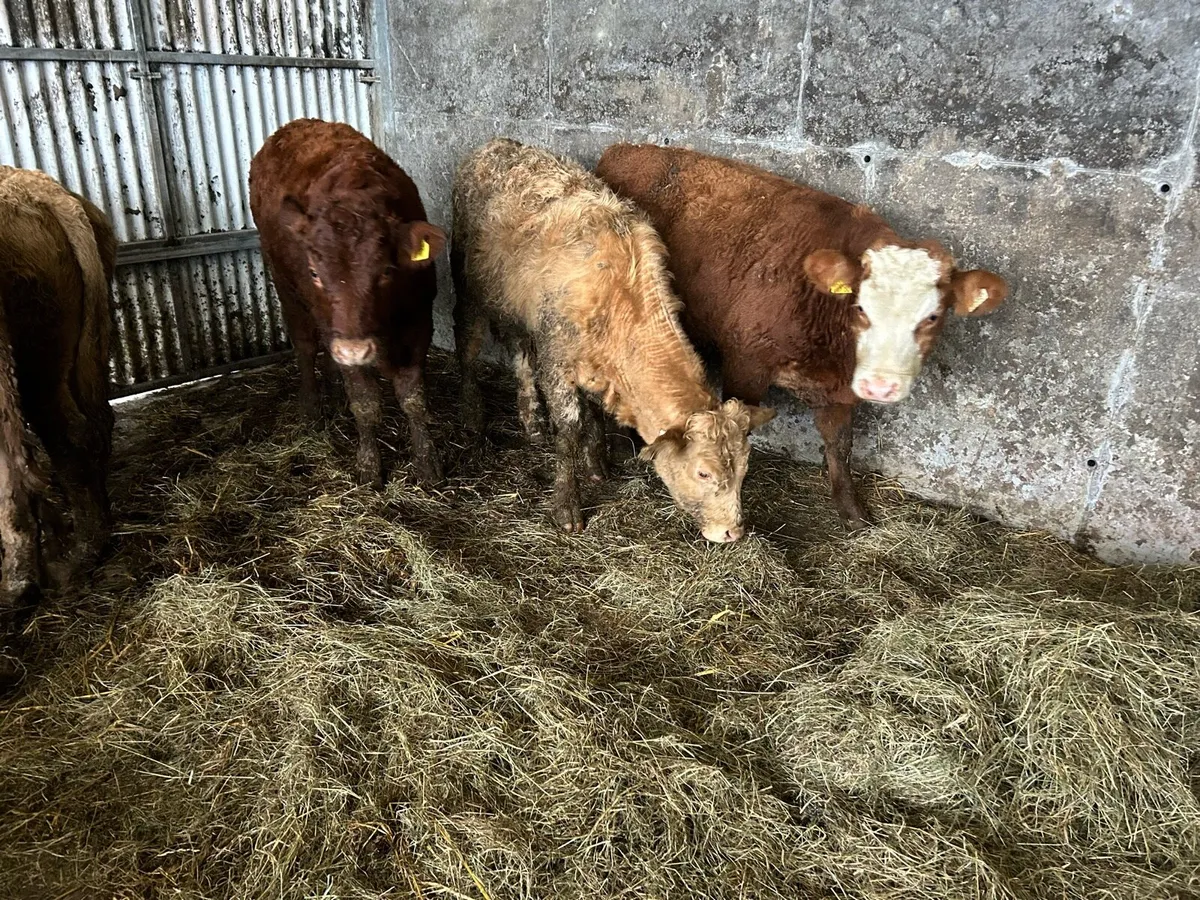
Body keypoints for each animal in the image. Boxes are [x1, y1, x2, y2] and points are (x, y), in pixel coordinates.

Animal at [249, 119, 445, 489]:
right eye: (314, 272)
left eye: (387, 270)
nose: (354, 351)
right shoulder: (336, 332)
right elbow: (366, 403)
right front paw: (369, 468)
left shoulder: (419, 323)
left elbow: (414, 399)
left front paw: (428, 467)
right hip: (289, 292)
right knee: (306, 347)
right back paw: (313, 411)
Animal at [452, 138, 775, 542]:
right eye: (703, 472)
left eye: (744, 469)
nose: (733, 532)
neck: (620, 298)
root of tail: (497, 144)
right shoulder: (557, 363)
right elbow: (570, 429)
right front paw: (567, 505)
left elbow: (594, 413)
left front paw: (597, 463)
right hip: (467, 285)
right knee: (467, 347)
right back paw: (472, 416)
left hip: (517, 312)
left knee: (521, 354)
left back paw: (531, 421)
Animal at [596, 144, 1008, 529]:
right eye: (861, 307)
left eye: (933, 316)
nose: (881, 386)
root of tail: (625, 148)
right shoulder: (746, 363)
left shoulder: (841, 390)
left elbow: (840, 447)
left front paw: (852, 512)